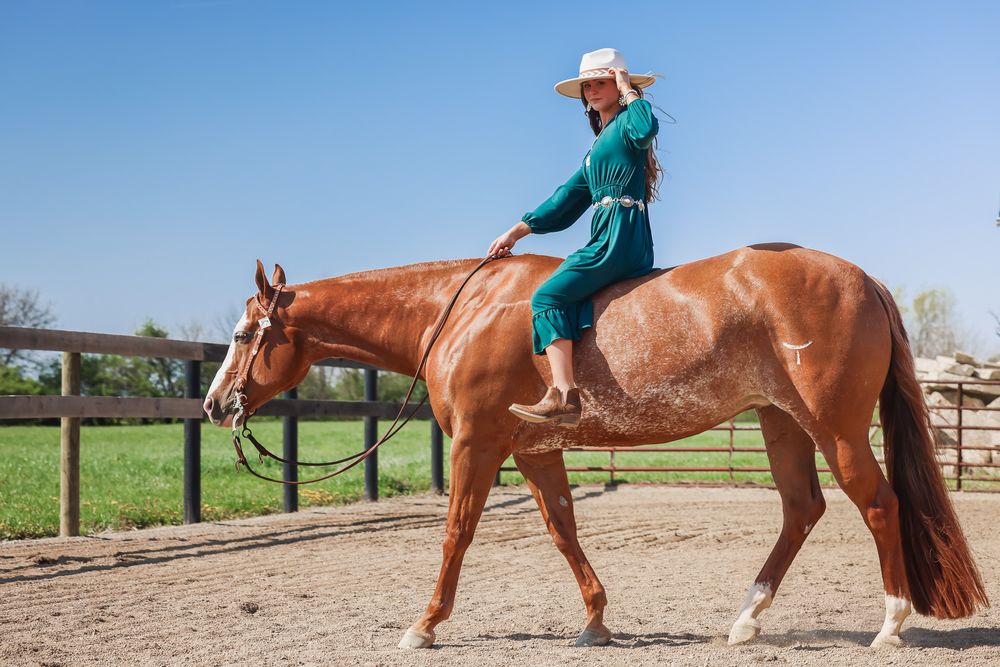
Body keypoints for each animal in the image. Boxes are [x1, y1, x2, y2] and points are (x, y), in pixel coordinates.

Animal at [202, 243, 987, 650]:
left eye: (243, 334)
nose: (214, 404)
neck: (465, 310)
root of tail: (863, 277)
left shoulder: (478, 444)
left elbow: (457, 532)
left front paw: (423, 625)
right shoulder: (534, 451)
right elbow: (562, 529)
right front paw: (596, 619)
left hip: (835, 428)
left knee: (879, 504)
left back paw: (890, 624)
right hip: (782, 423)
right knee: (802, 509)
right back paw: (745, 619)